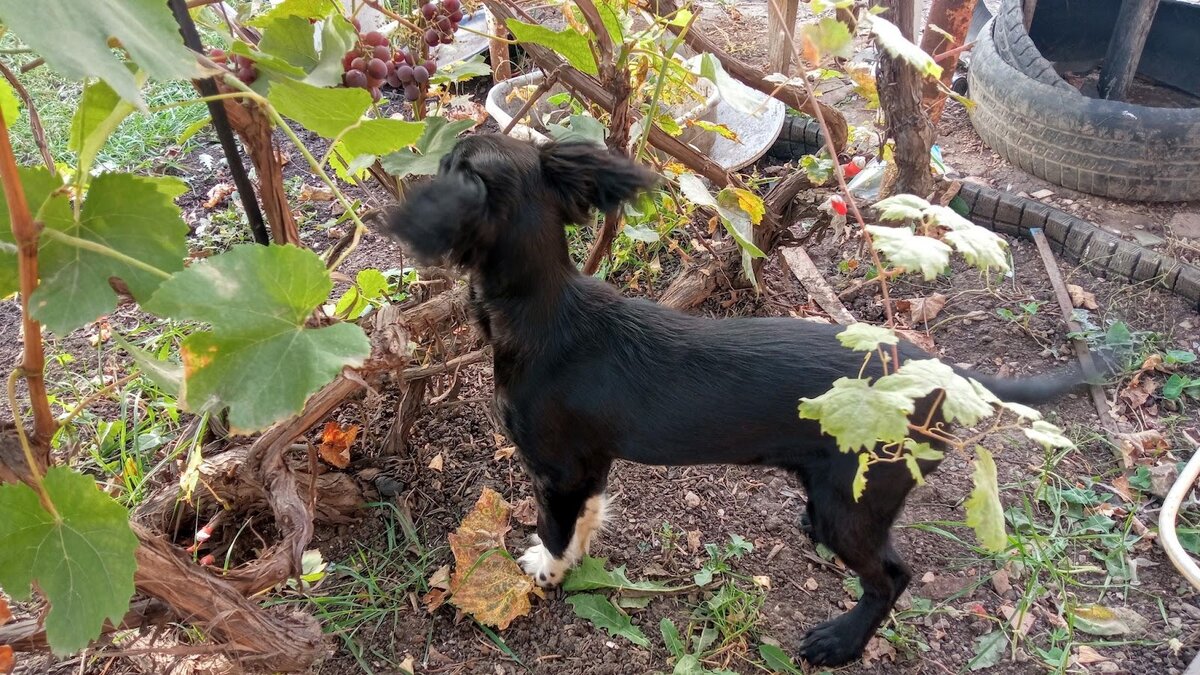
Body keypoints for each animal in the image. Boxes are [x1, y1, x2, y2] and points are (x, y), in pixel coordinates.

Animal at [386, 132, 1089, 662]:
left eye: (448, 161)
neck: (542, 308)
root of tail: (938, 372)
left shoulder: (555, 470)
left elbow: (555, 529)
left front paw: (546, 569)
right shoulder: (590, 465)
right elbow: (587, 516)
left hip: (857, 502)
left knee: (891, 577)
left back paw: (840, 642)